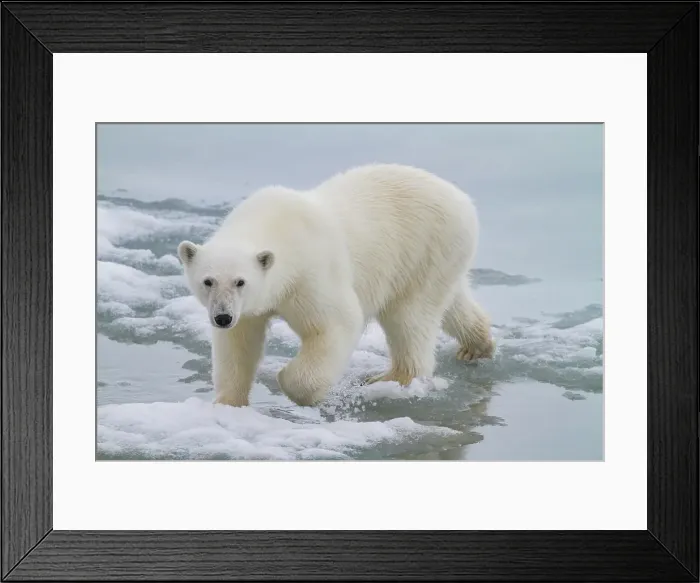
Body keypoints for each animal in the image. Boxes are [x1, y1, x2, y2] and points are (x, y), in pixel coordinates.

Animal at [178, 163, 494, 407]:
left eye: (240, 281)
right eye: (208, 281)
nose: (222, 316)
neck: (276, 225)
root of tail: (463, 199)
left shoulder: (309, 273)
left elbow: (336, 322)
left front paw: (290, 382)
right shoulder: (249, 309)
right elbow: (238, 343)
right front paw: (228, 403)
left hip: (426, 244)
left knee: (409, 316)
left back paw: (392, 378)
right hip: (438, 259)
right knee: (450, 301)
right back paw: (476, 345)